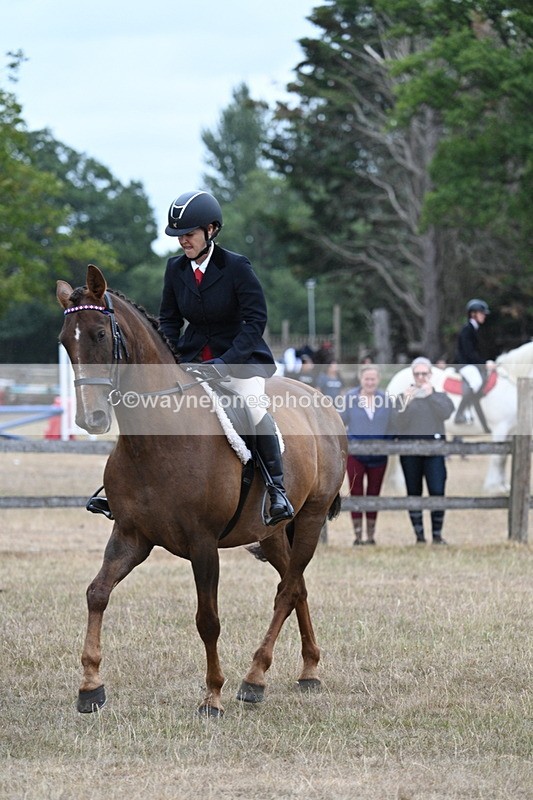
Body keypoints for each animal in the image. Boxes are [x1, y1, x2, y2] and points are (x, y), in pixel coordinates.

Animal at [56, 264, 347, 717]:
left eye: (100, 334)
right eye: (64, 341)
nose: (92, 418)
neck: (156, 439)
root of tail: (319, 399)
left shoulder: (203, 543)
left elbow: (207, 619)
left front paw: (212, 695)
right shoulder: (131, 536)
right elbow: (97, 594)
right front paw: (90, 687)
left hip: (312, 519)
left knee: (286, 591)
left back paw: (254, 679)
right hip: (273, 532)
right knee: (295, 586)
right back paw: (308, 670)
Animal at [386, 363, 519, 493]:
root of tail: (395, 378)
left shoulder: (510, 431)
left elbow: (503, 458)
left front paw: (503, 486)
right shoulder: (500, 427)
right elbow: (498, 458)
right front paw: (493, 487)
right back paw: (400, 485)